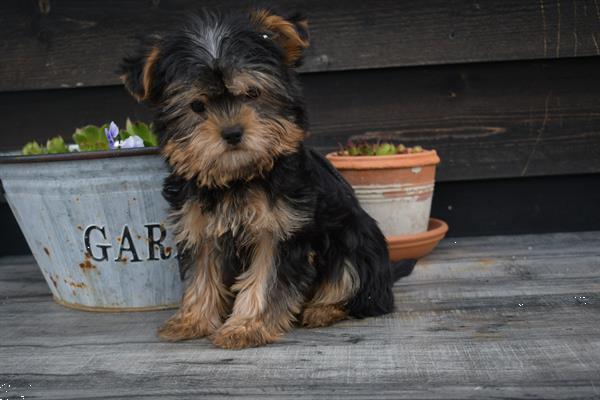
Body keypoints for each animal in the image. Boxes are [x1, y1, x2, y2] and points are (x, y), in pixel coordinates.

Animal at [122, 8, 412, 346]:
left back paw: (323, 309)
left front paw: (246, 326)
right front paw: (192, 320)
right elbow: (201, 275)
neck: (238, 176)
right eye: (197, 105)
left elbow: (264, 279)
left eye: (252, 93)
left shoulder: (280, 229)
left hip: (355, 245)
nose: (232, 132)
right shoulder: (199, 226)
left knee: (357, 289)